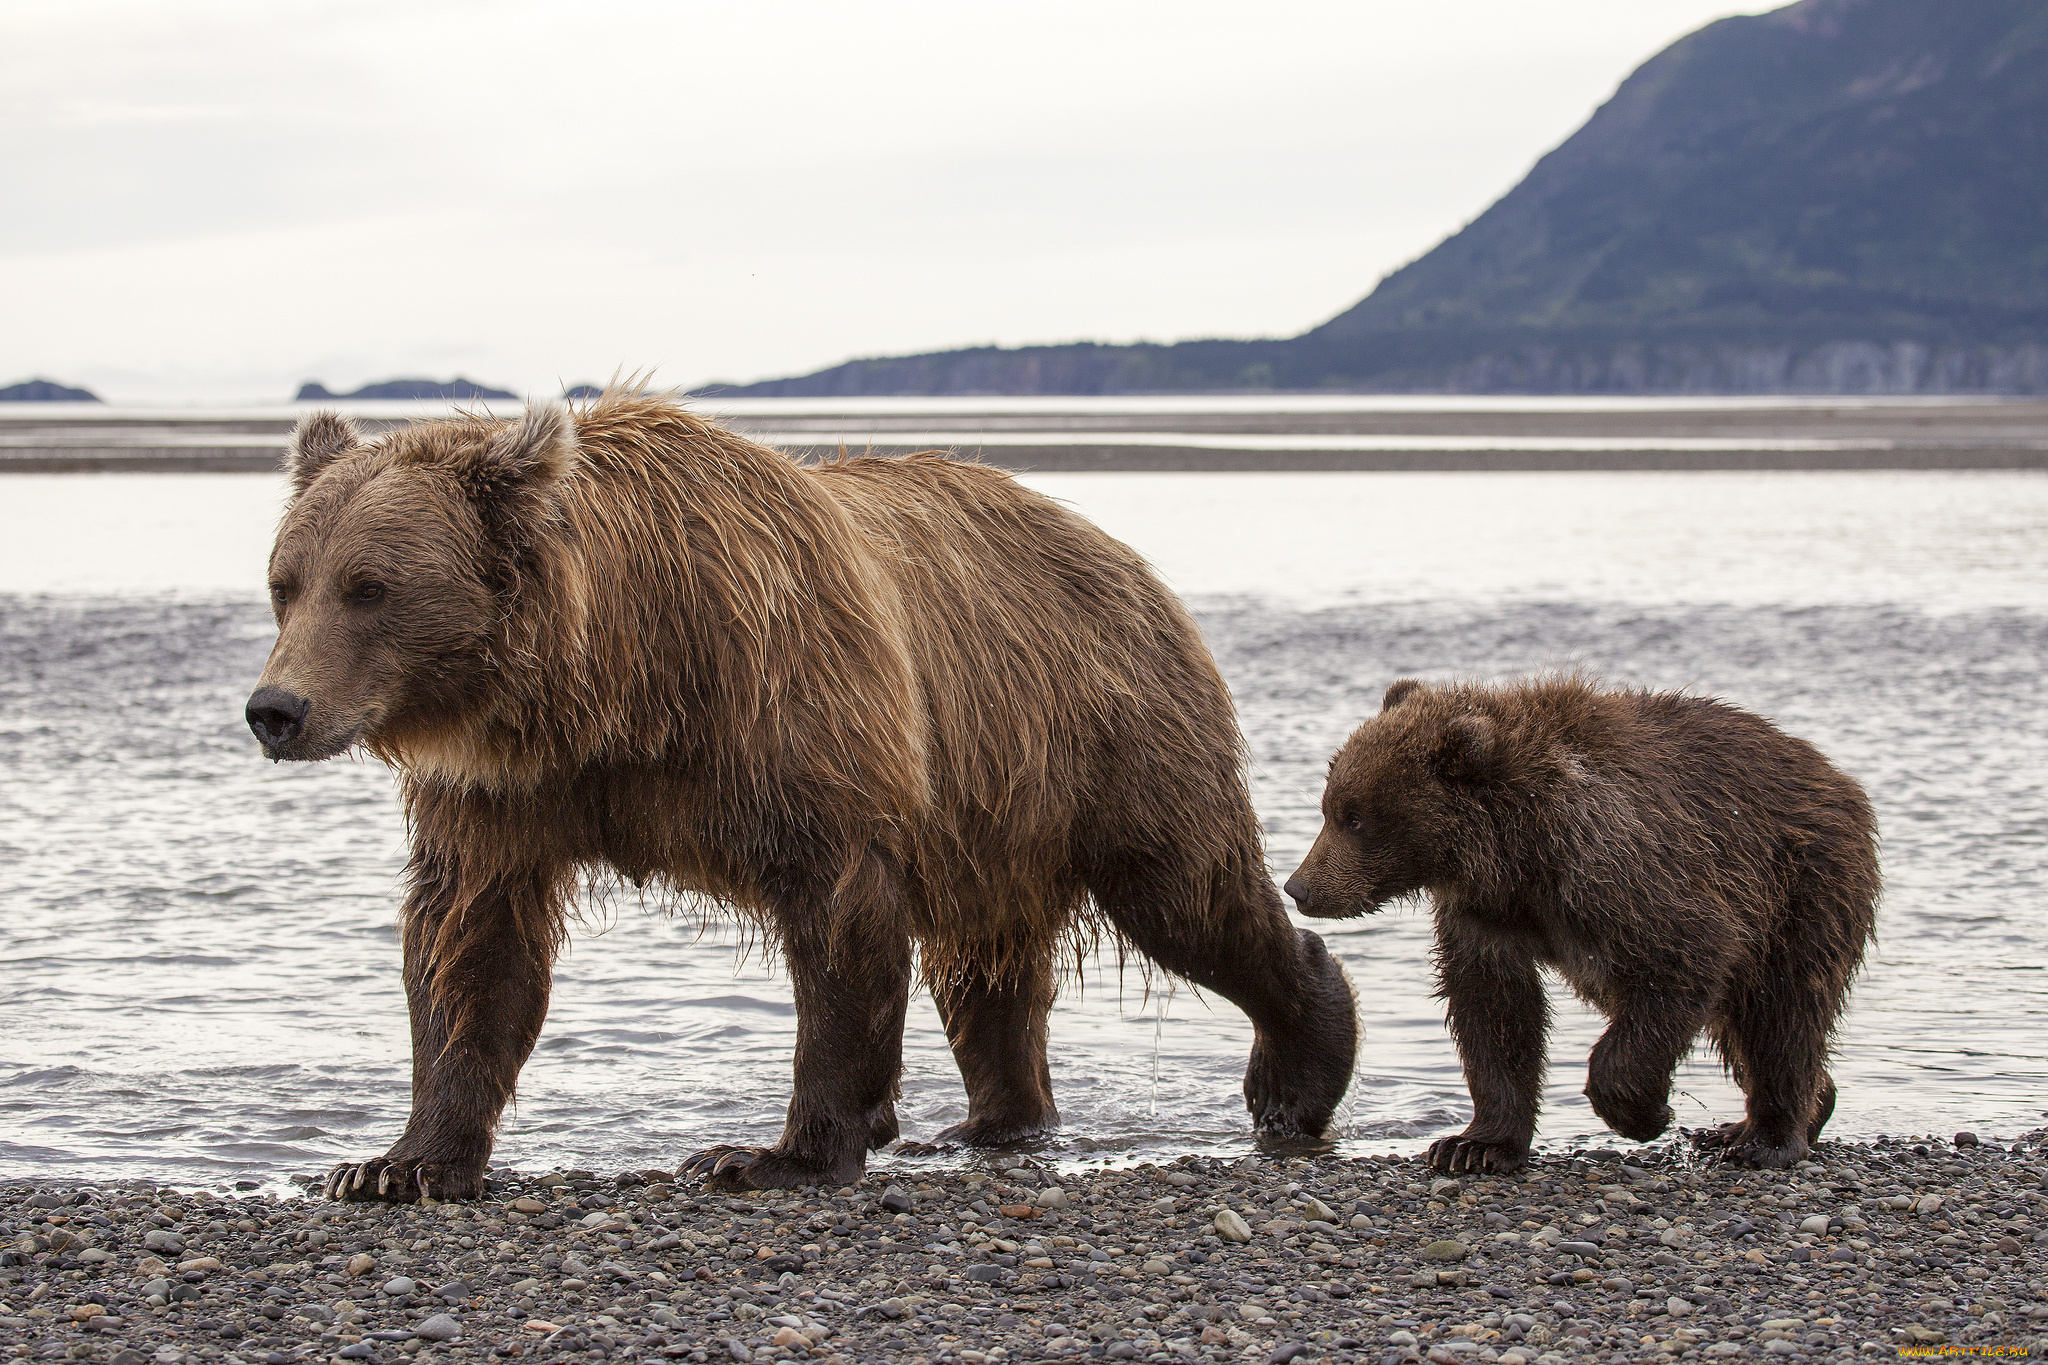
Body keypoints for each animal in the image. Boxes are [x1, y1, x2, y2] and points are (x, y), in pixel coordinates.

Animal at [244, 389, 1357, 1200]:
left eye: (370, 586)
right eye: (285, 580)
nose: (276, 709)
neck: (620, 679)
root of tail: (1120, 553)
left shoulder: (791, 716)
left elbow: (836, 926)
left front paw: (768, 1153)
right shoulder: (505, 792)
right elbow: (469, 944)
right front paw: (395, 1162)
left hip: (1108, 734)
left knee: (1191, 897)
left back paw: (1298, 1069)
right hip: (992, 810)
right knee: (985, 972)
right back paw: (993, 1122)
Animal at [1283, 675, 1877, 1172]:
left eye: (1355, 817)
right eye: (1329, 806)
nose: (1299, 887)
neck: (1517, 853)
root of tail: (1838, 777)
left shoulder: (1622, 870)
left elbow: (1687, 953)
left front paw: (1645, 1112)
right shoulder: (1485, 915)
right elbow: (1493, 1009)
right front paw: (1474, 1146)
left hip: (1802, 886)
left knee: (1782, 1011)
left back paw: (1767, 1138)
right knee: (1743, 1024)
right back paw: (1779, 1114)